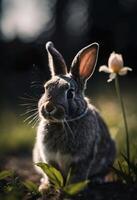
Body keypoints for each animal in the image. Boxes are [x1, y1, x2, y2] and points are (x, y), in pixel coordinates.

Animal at [33, 41, 115, 191]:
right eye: (46, 88)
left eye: (70, 93)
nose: (49, 107)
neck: (62, 123)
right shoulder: (48, 158)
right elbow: (51, 173)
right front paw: (46, 187)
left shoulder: (82, 159)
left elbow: (77, 175)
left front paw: (72, 188)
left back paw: (97, 180)